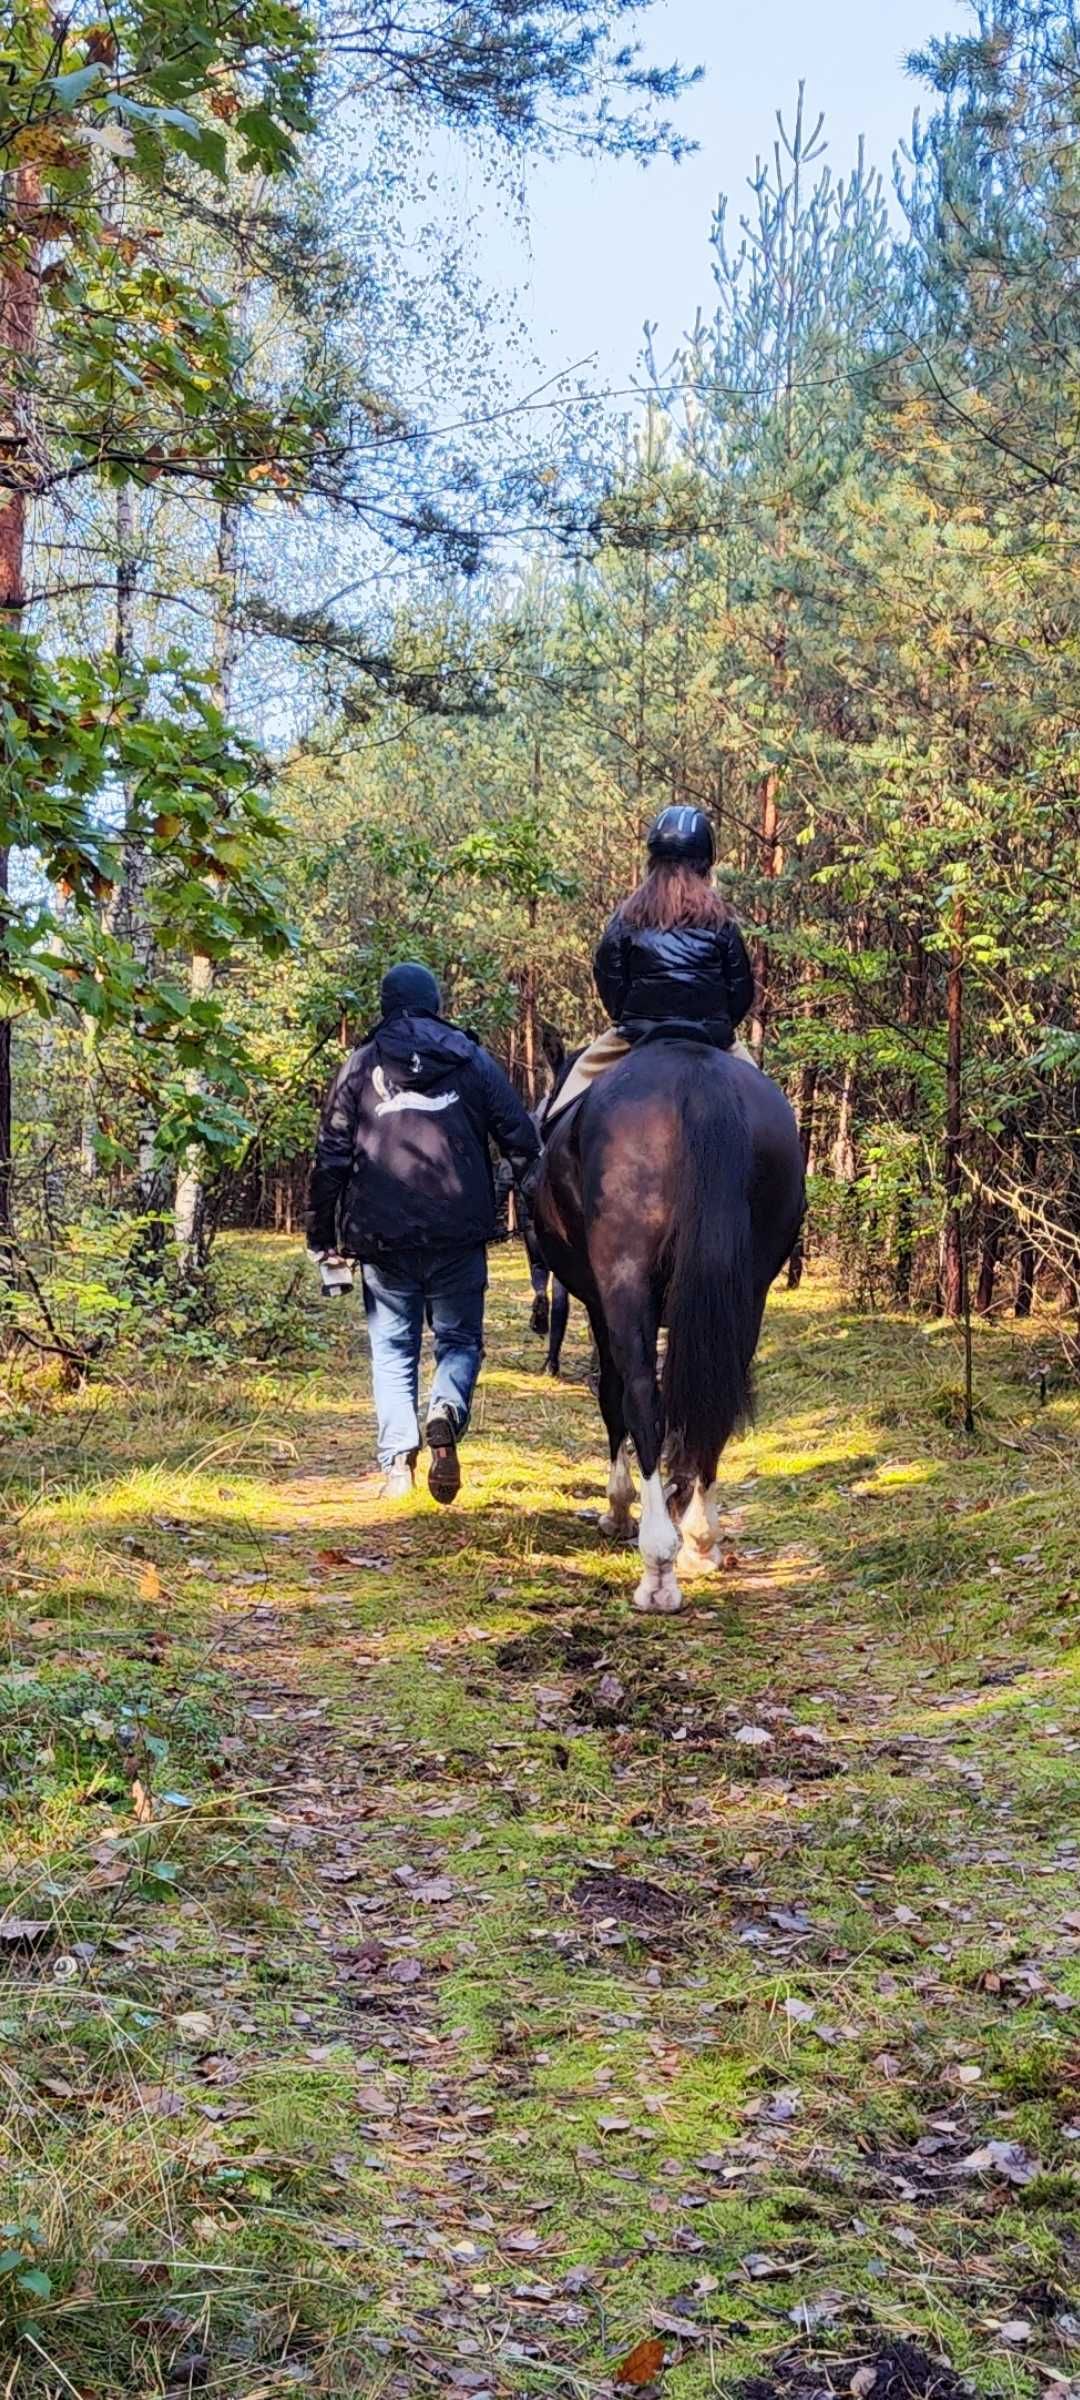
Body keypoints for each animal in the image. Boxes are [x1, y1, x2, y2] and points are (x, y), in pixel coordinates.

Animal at [530, 1036, 801, 1612]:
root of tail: (698, 1080)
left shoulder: (599, 1302)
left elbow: (612, 1394)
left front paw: (617, 1508)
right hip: (749, 1289)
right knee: (720, 1395)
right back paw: (700, 1539)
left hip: (625, 1279)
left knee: (639, 1395)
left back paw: (657, 1566)